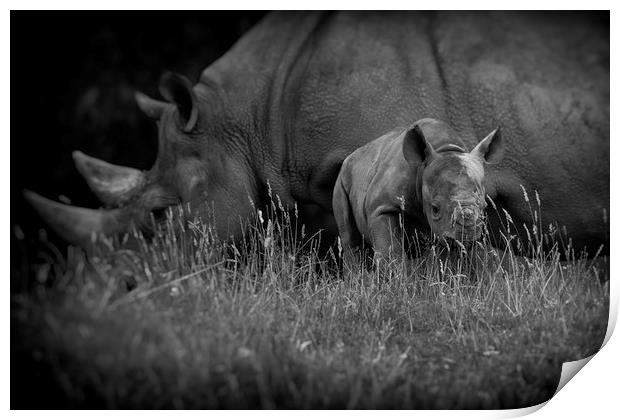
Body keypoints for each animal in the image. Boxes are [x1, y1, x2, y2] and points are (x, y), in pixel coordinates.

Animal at [334, 117, 504, 270]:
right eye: (435, 208)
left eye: (484, 206)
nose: (466, 234)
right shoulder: (382, 207)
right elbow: (390, 252)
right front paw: (395, 279)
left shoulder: (442, 230)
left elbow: (443, 259)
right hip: (342, 178)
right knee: (350, 240)